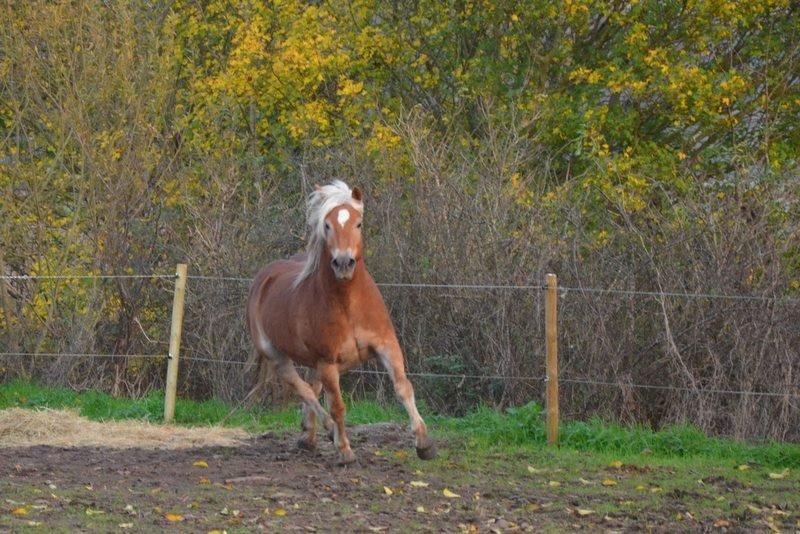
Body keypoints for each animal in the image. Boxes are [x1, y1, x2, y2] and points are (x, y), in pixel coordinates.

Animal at [247, 180, 438, 464]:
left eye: (358, 223)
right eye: (326, 225)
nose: (343, 263)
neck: (348, 304)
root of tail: (265, 277)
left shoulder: (387, 346)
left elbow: (403, 388)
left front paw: (424, 444)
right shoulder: (328, 362)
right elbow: (337, 406)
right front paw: (345, 450)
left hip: (313, 361)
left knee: (311, 388)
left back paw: (309, 436)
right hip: (277, 355)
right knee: (304, 389)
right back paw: (328, 431)